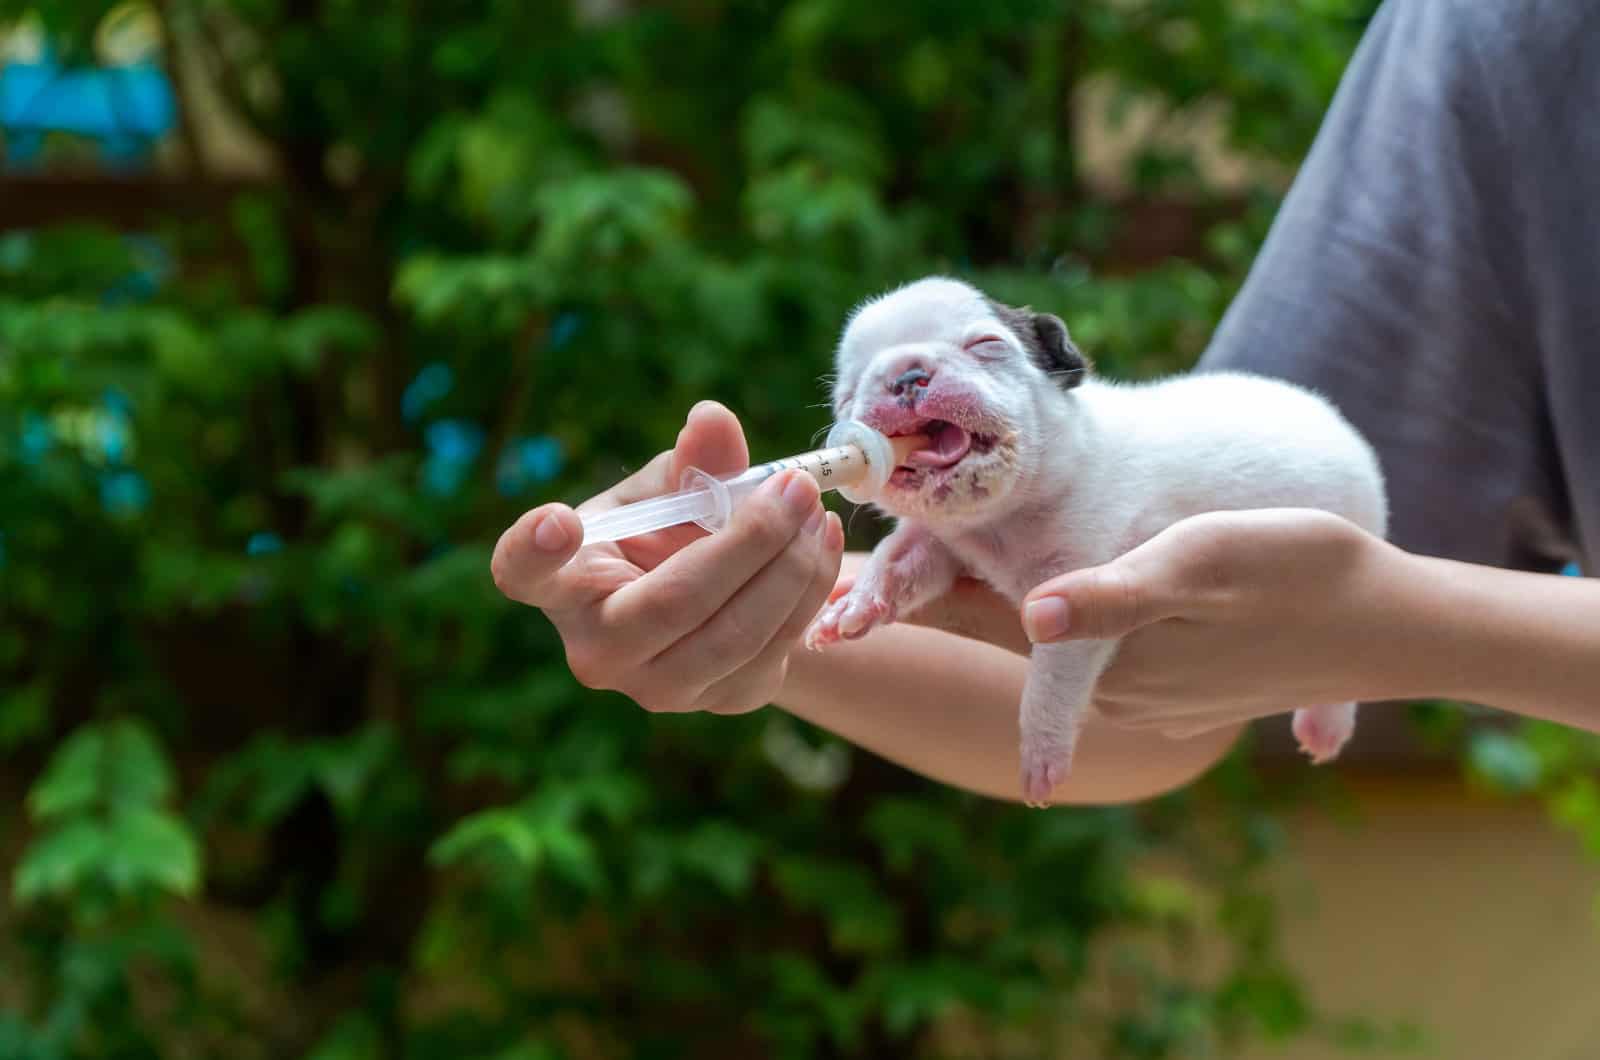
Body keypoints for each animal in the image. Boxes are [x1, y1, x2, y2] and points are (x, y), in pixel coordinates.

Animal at [800, 278, 1388, 810]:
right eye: (848, 393)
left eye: (986, 345)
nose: (905, 376)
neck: (1003, 519)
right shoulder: (945, 539)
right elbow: (900, 560)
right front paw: (857, 603)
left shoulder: (1079, 586)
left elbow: (1050, 682)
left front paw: (1040, 758)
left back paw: (1325, 723)